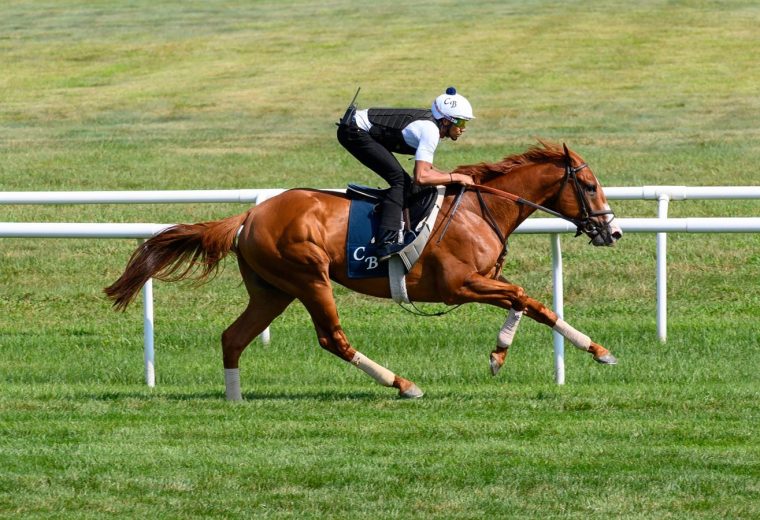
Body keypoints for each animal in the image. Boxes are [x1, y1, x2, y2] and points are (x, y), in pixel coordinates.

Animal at [104, 140, 620, 400]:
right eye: (590, 185)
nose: (612, 231)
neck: (481, 208)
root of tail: (249, 215)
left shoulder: (478, 282)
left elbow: (530, 302)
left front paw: (508, 353)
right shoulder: (459, 285)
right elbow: (525, 298)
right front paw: (591, 351)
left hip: (273, 289)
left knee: (233, 337)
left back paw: (235, 399)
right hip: (308, 276)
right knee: (332, 338)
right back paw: (403, 384)